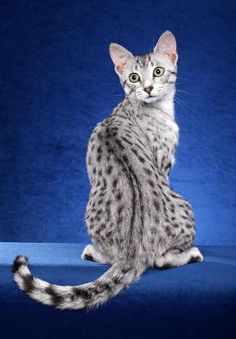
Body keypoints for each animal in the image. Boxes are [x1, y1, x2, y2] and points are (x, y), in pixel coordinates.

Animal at [12, 31, 203, 310]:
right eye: (133, 77)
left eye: (158, 71)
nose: (147, 88)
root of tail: (135, 248)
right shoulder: (164, 164)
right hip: (184, 203)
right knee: (160, 260)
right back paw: (192, 253)